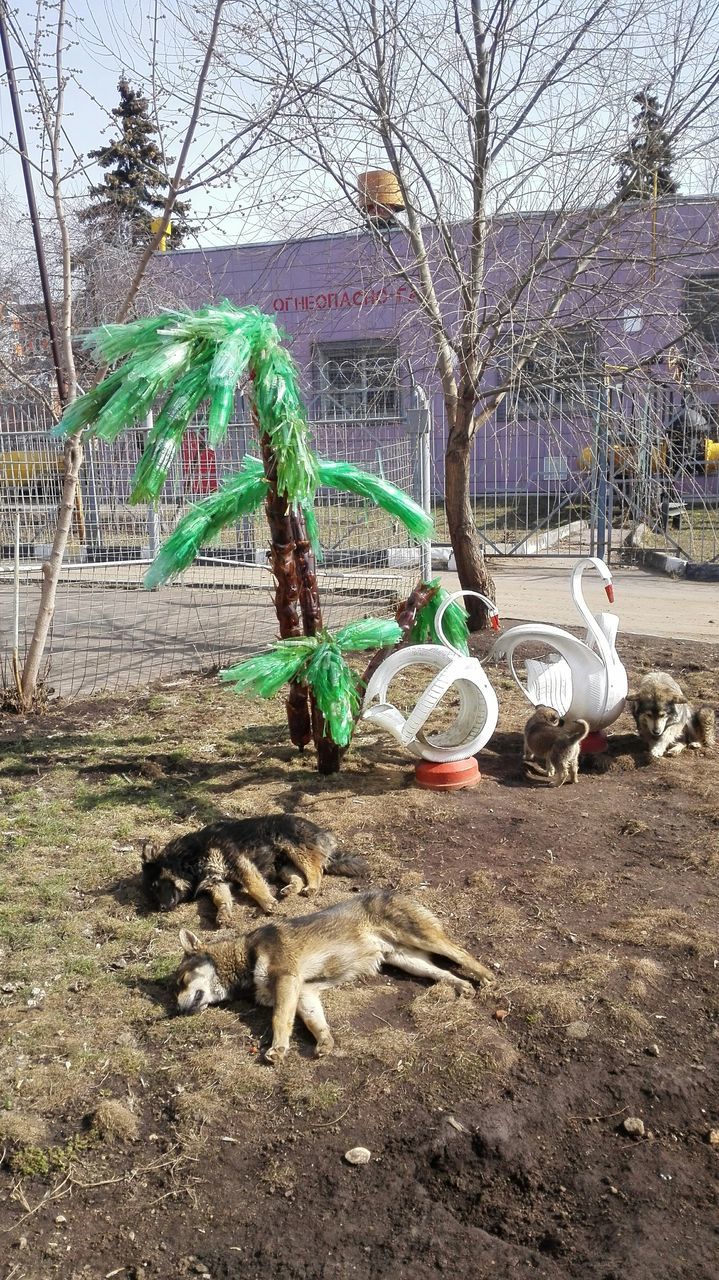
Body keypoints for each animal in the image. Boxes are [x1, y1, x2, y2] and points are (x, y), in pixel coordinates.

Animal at [172, 890, 491, 1059]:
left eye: (181, 981)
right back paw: (462, 986)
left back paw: (486, 976)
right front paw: (325, 1042)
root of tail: (395, 892)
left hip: (422, 939)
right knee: (442, 972)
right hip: (406, 960)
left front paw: (278, 1047)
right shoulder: (304, 991)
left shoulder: (287, 980)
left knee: (461, 953)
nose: (176, 1009)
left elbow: (279, 1019)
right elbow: (316, 1023)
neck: (245, 954)